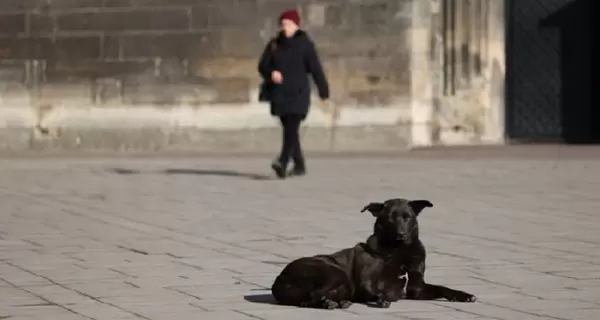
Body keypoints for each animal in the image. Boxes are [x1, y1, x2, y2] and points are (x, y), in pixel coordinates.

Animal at [270, 199, 428, 308]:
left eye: (407, 217)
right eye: (390, 217)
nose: (401, 235)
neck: (397, 250)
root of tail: (280, 278)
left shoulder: (417, 287)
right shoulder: (365, 282)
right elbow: (375, 290)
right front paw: (381, 299)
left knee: (309, 300)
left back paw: (334, 302)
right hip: (335, 271)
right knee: (315, 294)